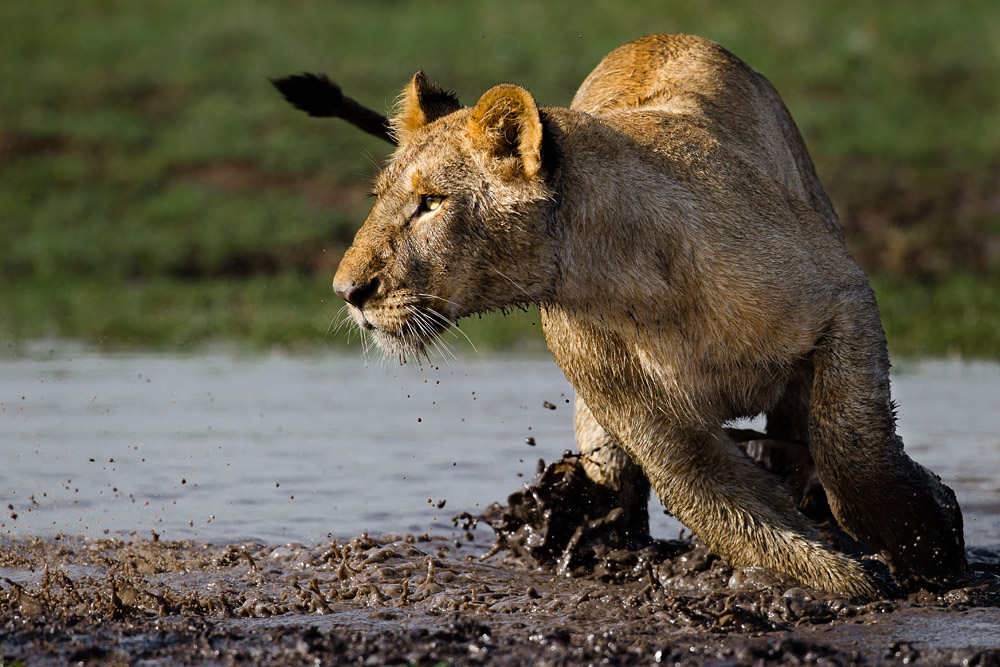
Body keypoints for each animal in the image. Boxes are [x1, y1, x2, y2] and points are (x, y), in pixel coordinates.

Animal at [278, 34, 964, 596]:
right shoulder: (655, 424)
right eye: (380, 198)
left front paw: (931, 545)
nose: (347, 290)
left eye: (431, 202)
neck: (619, 277)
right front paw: (848, 582)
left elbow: (853, 445)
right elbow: (731, 515)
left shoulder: (841, 296)